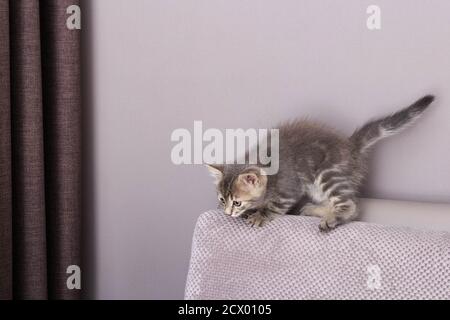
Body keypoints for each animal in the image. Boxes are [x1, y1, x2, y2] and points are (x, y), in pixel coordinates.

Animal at [206, 94, 434, 231]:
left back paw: (332, 219)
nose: (227, 212)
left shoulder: (289, 187)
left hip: (327, 173)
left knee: (352, 205)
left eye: (237, 202)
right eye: (222, 199)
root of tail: (351, 146)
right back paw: (314, 210)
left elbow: (276, 205)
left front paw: (260, 215)